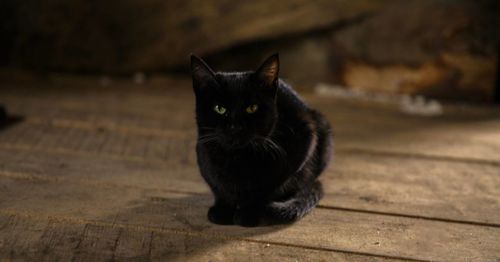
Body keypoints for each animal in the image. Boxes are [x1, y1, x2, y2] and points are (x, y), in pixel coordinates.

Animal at [190, 53, 332, 227]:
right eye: (219, 108)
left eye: (252, 108)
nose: (235, 127)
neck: (237, 160)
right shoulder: (203, 156)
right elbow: (219, 188)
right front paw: (222, 210)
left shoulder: (305, 138)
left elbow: (265, 190)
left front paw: (249, 213)